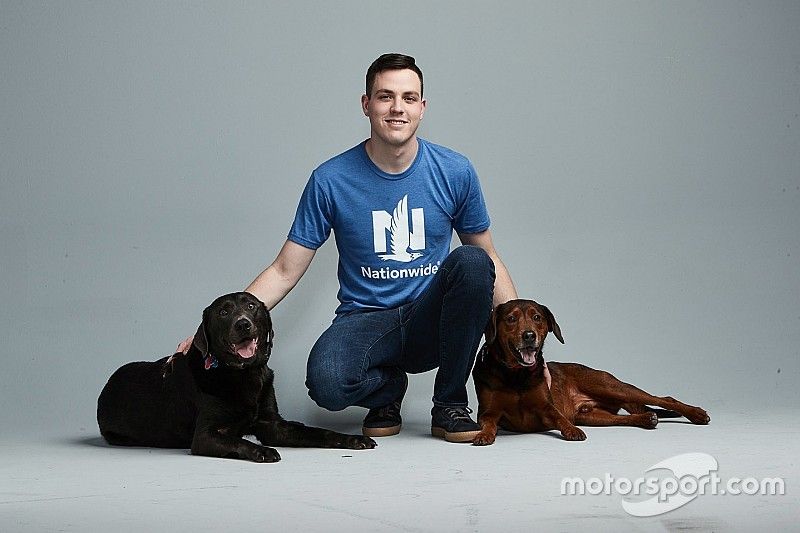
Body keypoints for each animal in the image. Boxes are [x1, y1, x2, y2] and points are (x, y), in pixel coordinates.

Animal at [97, 290, 376, 462]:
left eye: (251, 306)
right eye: (223, 312)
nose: (243, 324)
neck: (245, 374)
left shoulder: (273, 424)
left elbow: (320, 433)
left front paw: (353, 439)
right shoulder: (205, 435)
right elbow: (237, 442)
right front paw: (262, 451)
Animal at [472, 300, 708, 444]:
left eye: (537, 317)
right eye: (511, 319)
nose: (529, 335)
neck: (516, 375)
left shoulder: (547, 407)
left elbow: (559, 418)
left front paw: (571, 431)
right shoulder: (489, 412)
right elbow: (488, 423)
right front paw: (484, 434)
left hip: (611, 386)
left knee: (664, 399)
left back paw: (696, 414)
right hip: (591, 415)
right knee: (622, 418)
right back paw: (646, 419)